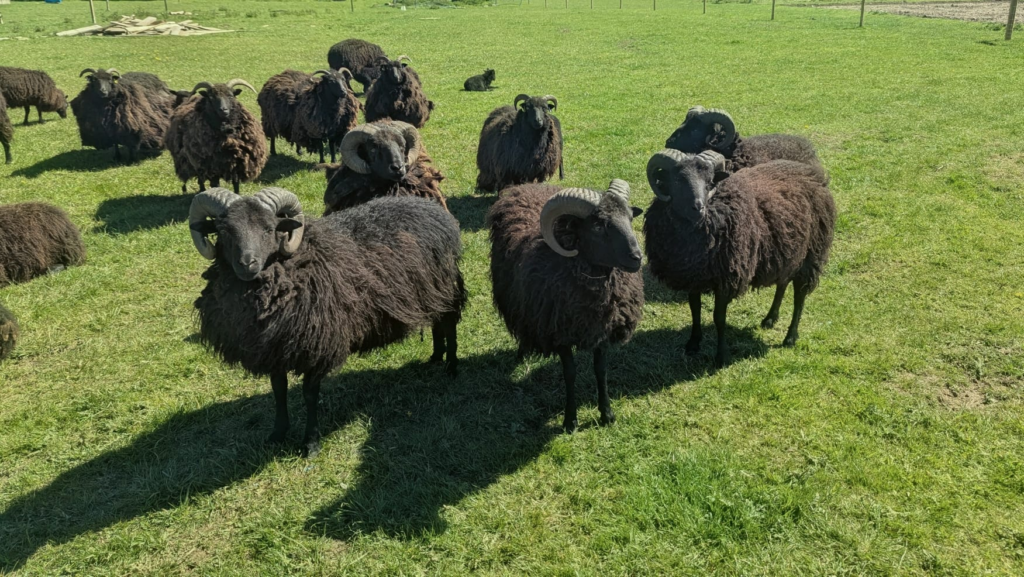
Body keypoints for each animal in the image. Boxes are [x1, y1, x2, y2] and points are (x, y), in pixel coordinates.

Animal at [188, 187, 467, 457]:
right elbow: (279, 390)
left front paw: (311, 443)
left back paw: (451, 365)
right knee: (437, 323)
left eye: (269, 229)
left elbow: (310, 395)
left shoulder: (318, 345)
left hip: (446, 285)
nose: (247, 263)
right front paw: (278, 433)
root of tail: (433, 209)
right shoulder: (274, 348)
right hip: (431, 292)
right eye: (224, 231)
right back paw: (435, 356)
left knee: (448, 323)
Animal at [487, 180, 645, 432]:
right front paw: (570, 420)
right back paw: (523, 351)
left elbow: (601, 370)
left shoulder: (603, 329)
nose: (637, 257)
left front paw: (607, 414)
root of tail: (530, 186)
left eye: (630, 217)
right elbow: (569, 373)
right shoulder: (559, 332)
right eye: (598, 226)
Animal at [643, 149, 836, 368]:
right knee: (782, 283)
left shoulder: (727, 278)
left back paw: (790, 337)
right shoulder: (693, 275)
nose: (698, 207)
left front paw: (721, 356)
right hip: (788, 253)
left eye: (709, 182)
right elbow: (695, 309)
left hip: (811, 254)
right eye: (677, 180)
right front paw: (693, 343)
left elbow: (719, 318)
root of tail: (814, 175)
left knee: (800, 296)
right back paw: (770, 319)